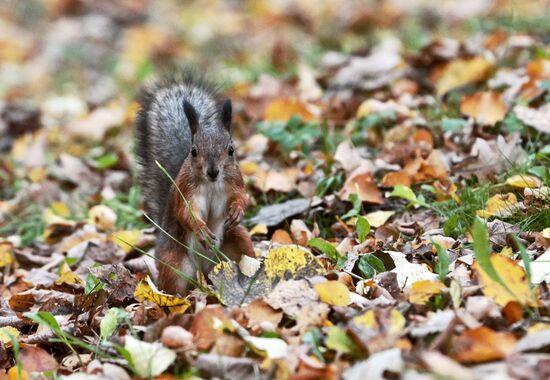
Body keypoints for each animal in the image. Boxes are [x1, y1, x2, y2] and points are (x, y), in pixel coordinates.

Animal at [135, 72, 256, 296]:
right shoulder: (186, 190)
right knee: (174, 284)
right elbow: (186, 212)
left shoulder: (235, 182)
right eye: (193, 151)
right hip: (175, 265)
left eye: (231, 149)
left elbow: (242, 197)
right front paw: (201, 230)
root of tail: (207, 269)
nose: (213, 171)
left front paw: (237, 211)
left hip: (237, 242)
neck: (212, 184)